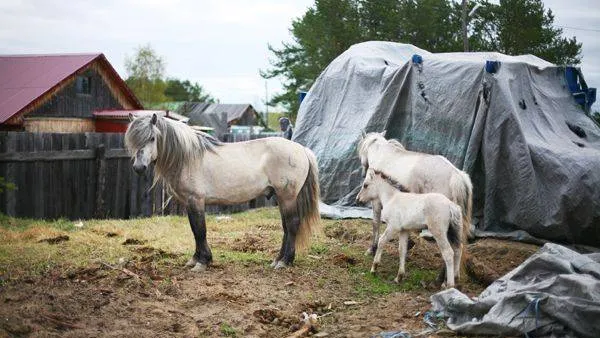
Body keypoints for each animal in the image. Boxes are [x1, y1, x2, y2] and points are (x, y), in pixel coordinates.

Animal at [125, 114, 322, 272]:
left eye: (152, 138)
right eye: (133, 141)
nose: (139, 167)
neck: (188, 157)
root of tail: (302, 150)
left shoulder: (196, 200)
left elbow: (200, 230)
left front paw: (203, 262)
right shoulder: (189, 203)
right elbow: (194, 230)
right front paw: (195, 259)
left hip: (287, 196)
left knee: (292, 224)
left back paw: (285, 261)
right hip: (281, 197)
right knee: (286, 227)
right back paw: (277, 260)